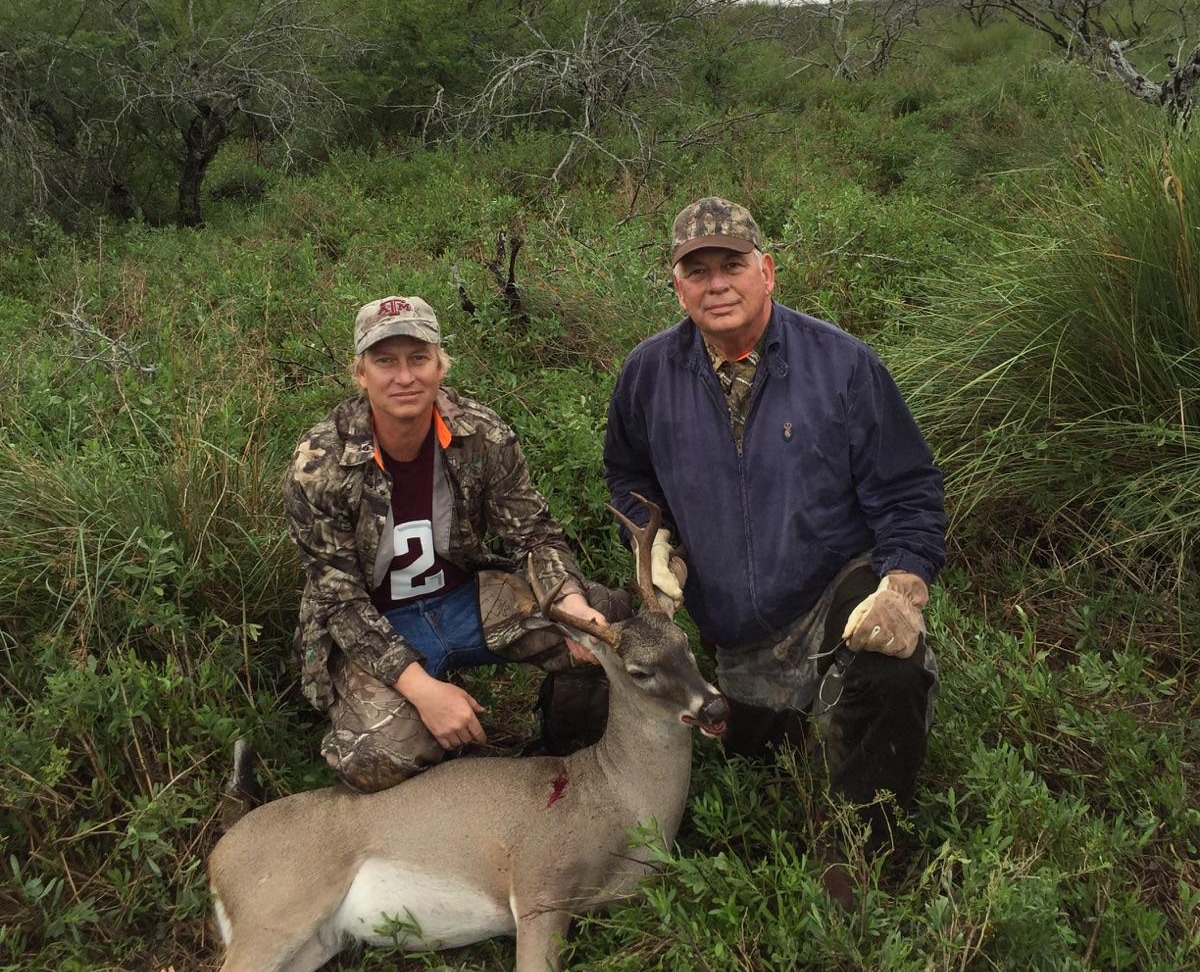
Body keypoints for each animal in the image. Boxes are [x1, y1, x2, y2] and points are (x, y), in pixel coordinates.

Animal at [208, 496, 729, 964]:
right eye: (640, 671)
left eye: (684, 641)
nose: (716, 707)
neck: (615, 801)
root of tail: (218, 859)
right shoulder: (540, 884)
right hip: (277, 905)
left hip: (317, 940)